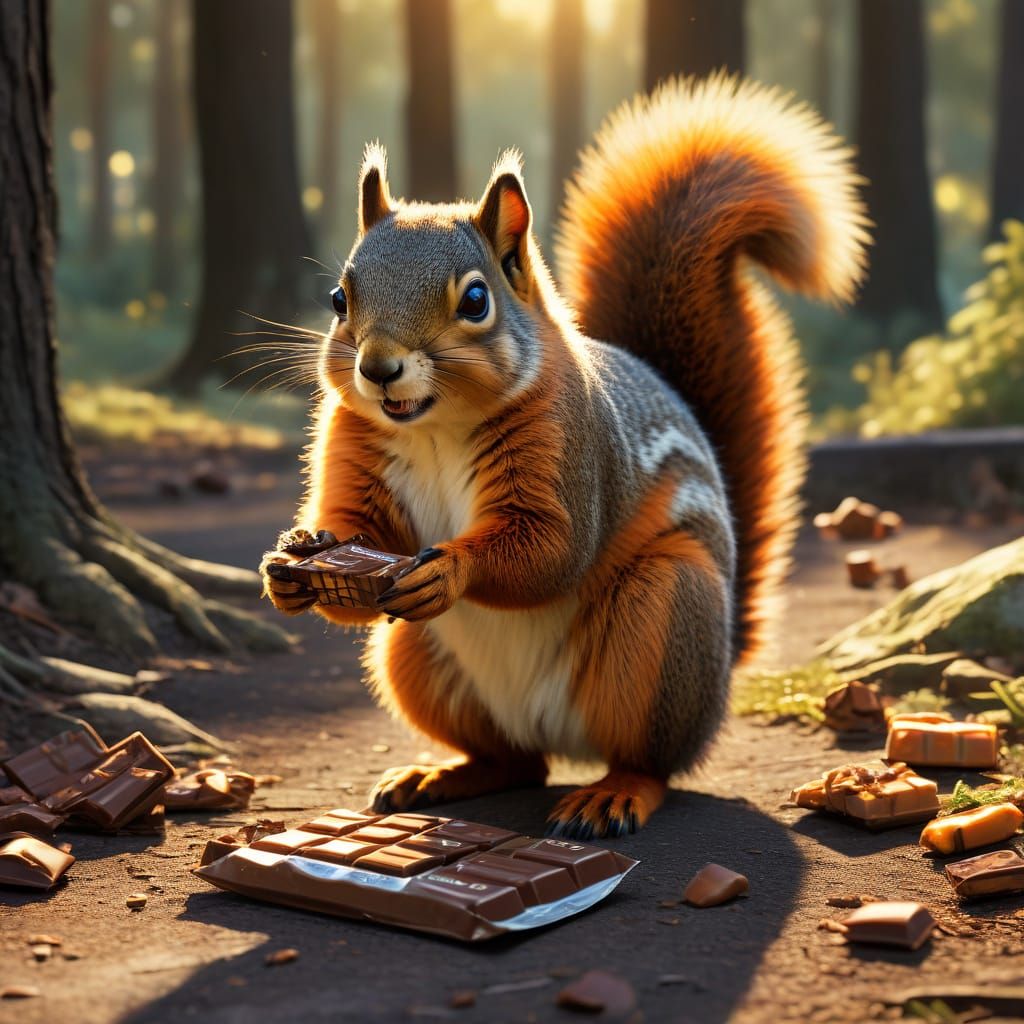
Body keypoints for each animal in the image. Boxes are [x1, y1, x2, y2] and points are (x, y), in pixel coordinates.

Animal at [261, 74, 869, 839]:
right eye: (339, 297)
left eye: (477, 299)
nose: (378, 368)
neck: (436, 427)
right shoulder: (356, 446)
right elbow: (360, 529)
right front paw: (295, 560)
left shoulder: (567, 449)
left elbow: (550, 546)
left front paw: (452, 569)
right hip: (416, 660)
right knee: (515, 762)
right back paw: (441, 774)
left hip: (664, 616)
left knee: (648, 759)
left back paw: (613, 794)